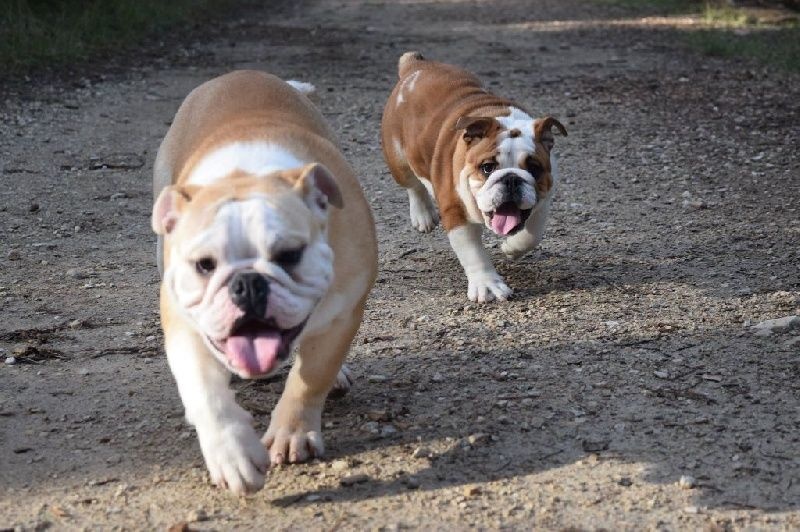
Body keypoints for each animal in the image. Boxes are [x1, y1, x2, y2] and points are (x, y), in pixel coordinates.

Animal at [151, 70, 377, 494]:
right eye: (204, 265)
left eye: (289, 255)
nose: (247, 284)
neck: (246, 178)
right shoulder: (182, 321)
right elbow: (205, 392)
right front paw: (232, 454)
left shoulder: (342, 314)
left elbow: (310, 377)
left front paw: (293, 433)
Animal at [381, 52, 567, 303]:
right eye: (487, 167)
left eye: (534, 168)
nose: (511, 178)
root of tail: (416, 66)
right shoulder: (456, 212)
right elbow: (473, 252)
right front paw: (487, 284)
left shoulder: (542, 202)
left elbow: (533, 235)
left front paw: (512, 248)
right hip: (398, 159)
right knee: (413, 185)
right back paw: (423, 215)